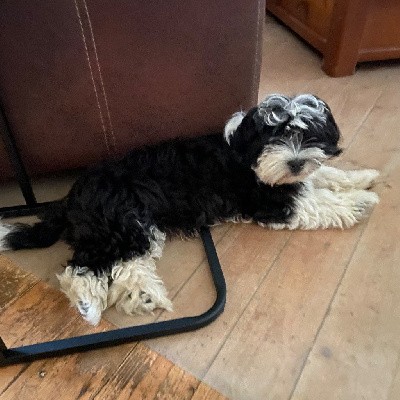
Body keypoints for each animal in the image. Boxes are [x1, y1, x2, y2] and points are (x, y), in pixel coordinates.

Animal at [0, 94, 379, 325]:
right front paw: (359, 203)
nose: (296, 162)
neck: (245, 152)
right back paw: (90, 306)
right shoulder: (271, 202)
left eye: (308, 135)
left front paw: (363, 178)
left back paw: (141, 298)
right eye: (273, 138)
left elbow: (325, 175)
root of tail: (72, 197)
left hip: (129, 227)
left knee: (123, 266)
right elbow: (318, 202)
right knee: (86, 267)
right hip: (126, 220)